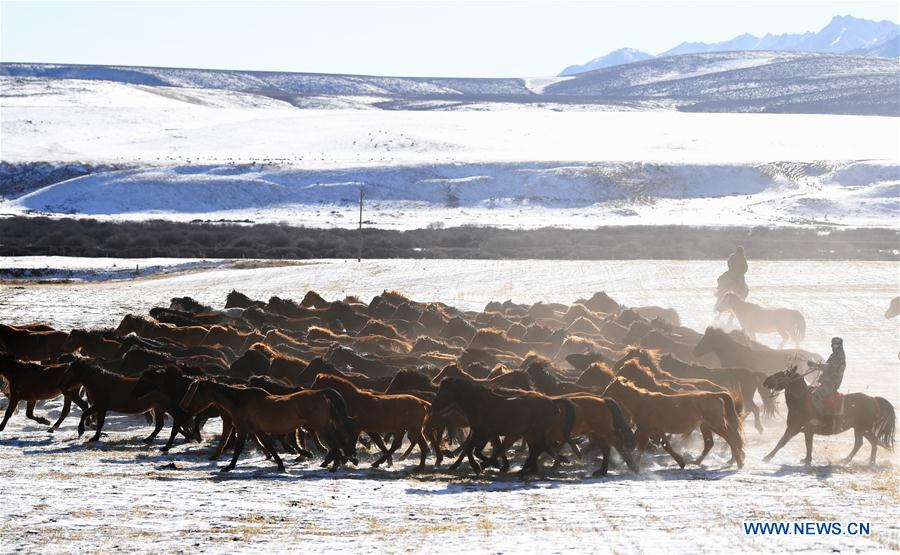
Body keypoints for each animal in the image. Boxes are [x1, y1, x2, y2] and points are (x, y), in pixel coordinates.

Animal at [178, 378, 356, 474]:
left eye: (193, 391)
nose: (183, 407)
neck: (240, 401)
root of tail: (321, 393)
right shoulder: (257, 430)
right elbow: (269, 446)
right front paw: (280, 465)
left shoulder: (242, 429)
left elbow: (238, 449)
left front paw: (229, 467)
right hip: (322, 426)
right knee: (335, 443)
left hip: (320, 426)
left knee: (334, 443)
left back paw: (334, 465)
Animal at [764, 368, 896, 466]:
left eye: (780, 375)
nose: (765, 381)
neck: (800, 400)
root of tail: (873, 399)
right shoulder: (800, 429)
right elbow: (799, 443)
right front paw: (807, 459)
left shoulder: (796, 428)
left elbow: (785, 442)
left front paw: (767, 457)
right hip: (860, 429)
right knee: (866, 442)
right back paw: (851, 460)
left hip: (863, 428)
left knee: (869, 442)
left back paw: (867, 461)